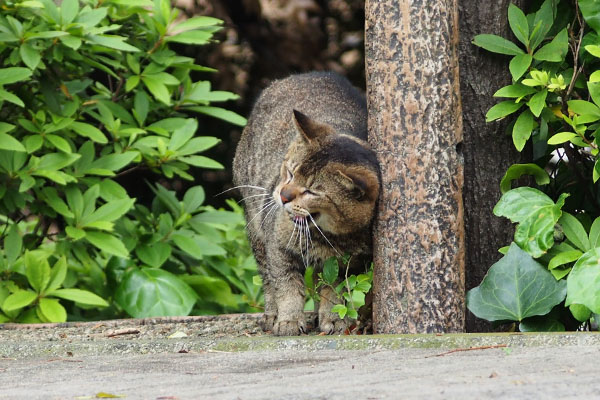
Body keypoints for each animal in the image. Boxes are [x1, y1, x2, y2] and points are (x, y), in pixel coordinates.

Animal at [233, 71, 380, 334]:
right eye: (290, 173)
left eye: (311, 191)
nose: (283, 196)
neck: (325, 236)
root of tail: (305, 74)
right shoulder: (277, 249)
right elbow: (287, 288)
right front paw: (289, 320)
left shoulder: (349, 264)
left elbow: (334, 292)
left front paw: (334, 319)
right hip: (255, 227)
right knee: (266, 278)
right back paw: (271, 315)